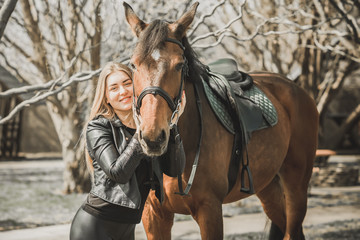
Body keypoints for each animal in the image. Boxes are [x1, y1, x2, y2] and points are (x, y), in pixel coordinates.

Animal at [123, 2, 318, 240]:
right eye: (133, 65)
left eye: (179, 65)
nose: (153, 137)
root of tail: (295, 88)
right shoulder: (154, 215)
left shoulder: (210, 210)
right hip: (267, 187)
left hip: (296, 186)